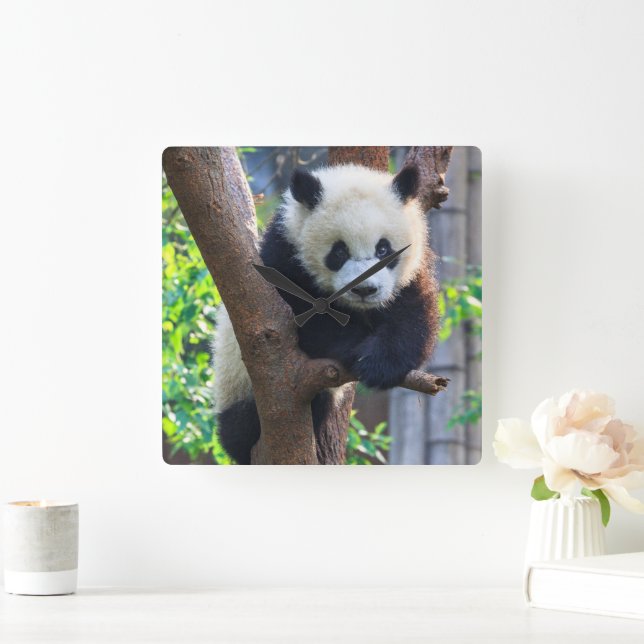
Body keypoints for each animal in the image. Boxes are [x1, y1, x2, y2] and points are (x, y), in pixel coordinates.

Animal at [212, 163, 440, 464]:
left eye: (383, 249)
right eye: (339, 252)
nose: (365, 289)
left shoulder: (408, 275)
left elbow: (412, 315)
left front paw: (380, 364)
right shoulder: (283, 259)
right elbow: (306, 321)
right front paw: (357, 350)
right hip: (237, 385)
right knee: (243, 427)